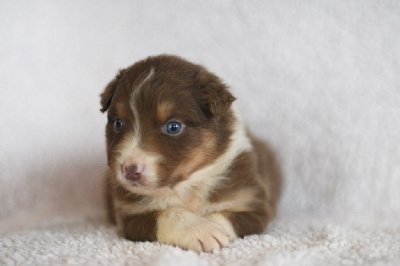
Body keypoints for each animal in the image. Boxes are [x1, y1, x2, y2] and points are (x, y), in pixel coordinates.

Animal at [100, 55, 282, 252]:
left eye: (173, 127)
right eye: (118, 124)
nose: (130, 170)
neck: (187, 185)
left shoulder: (253, 205)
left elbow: (221, 215)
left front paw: (211, 228)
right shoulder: (129, 214)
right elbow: (166, 214)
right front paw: (201, 230)